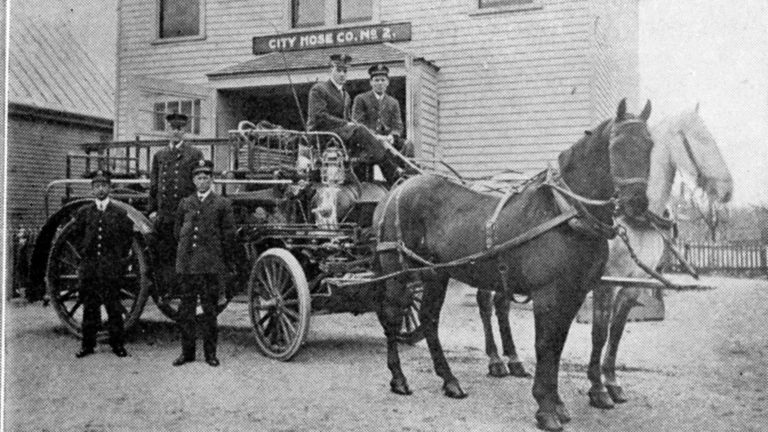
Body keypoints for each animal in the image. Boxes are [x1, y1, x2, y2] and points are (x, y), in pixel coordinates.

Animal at [372, 99, 656, 430]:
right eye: (616, 145)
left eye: (650, 144)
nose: (637, 204)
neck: (565, 213)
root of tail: (397, 189)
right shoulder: (547, 295)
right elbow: (545, 345)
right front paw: (545, 407)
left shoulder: (574, 294)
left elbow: (558, 345)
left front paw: (557, 403)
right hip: (398, 273)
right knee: (393, 317)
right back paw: (399, 378)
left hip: (435, 275)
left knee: (429, 319)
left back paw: (450, 380)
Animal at [584, 104, 736, 408]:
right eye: (698, 138)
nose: (727, 190)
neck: (633, 220)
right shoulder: (606, 283)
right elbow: (599, 332)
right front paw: (597, 388)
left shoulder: (633, 284)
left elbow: (616, 332)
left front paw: (612, 383)